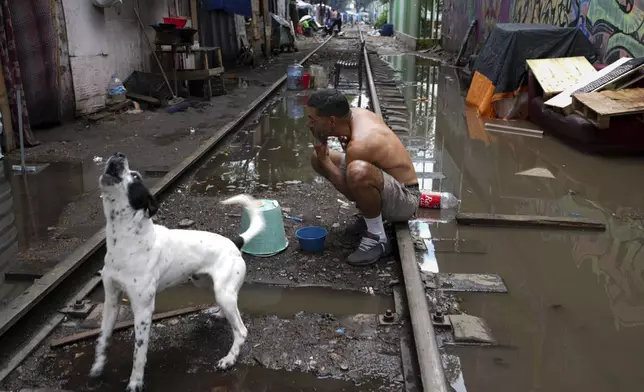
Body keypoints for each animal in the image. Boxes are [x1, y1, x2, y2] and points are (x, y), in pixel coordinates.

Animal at [90, 153, 264, 392]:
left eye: (135, 177)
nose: (118, 155)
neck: (125, 241)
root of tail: (234, 241)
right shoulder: (112, 300)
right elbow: (103, 338)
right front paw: (97, 366)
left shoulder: (143, 309)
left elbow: (139, 352)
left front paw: (135, 382)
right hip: (207, 284)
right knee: (230, 307)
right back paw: (219, 313)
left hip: (223, 292)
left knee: (241, 330)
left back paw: (229, 359)